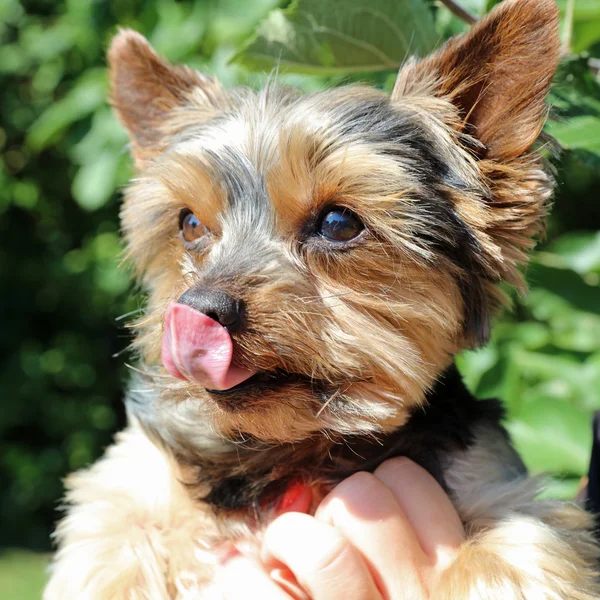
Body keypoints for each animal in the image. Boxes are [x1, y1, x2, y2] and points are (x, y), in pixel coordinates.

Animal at [45, 0, 600, 596]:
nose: (201, 311)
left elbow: (518, 547)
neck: (289, 454)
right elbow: (110, 538)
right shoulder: (134, 482)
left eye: (338, 223)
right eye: (189, 224)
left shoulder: (495, 483)